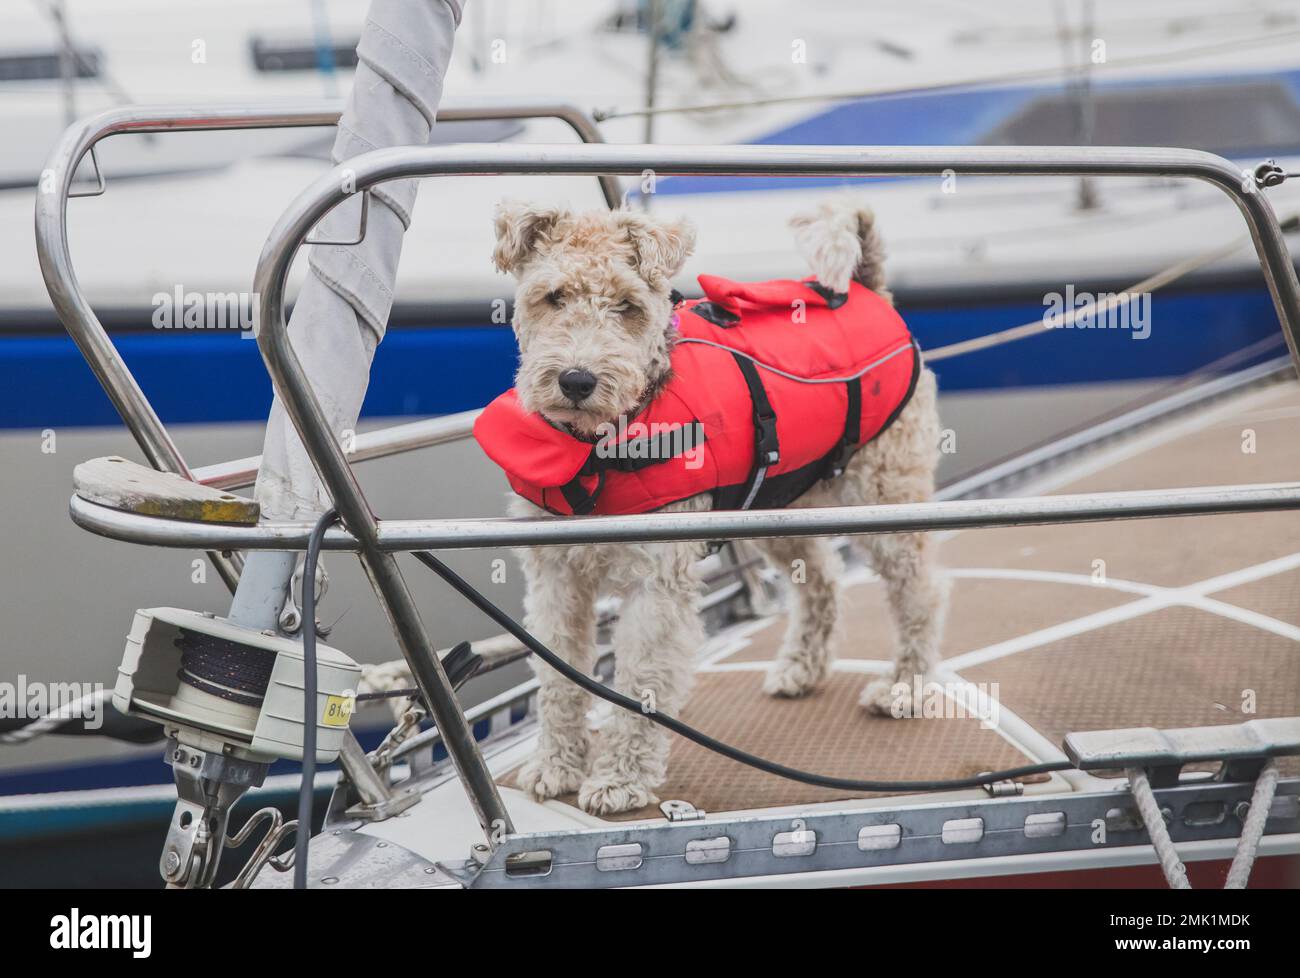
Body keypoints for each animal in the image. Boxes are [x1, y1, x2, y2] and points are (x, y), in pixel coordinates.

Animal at [483, 195, 951, 811]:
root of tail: (870, 287)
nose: (576, 381)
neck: (597, 452)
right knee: (821, 582)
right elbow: (560, 676)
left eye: (627, 305)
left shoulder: (656, 582)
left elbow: (641, 681)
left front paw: (619, 780)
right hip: (783, 509)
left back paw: (904, 689)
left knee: (920, 593)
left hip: (887, 498)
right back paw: (800, 669)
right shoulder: (556, 576)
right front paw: (556, 766)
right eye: (553, 296)